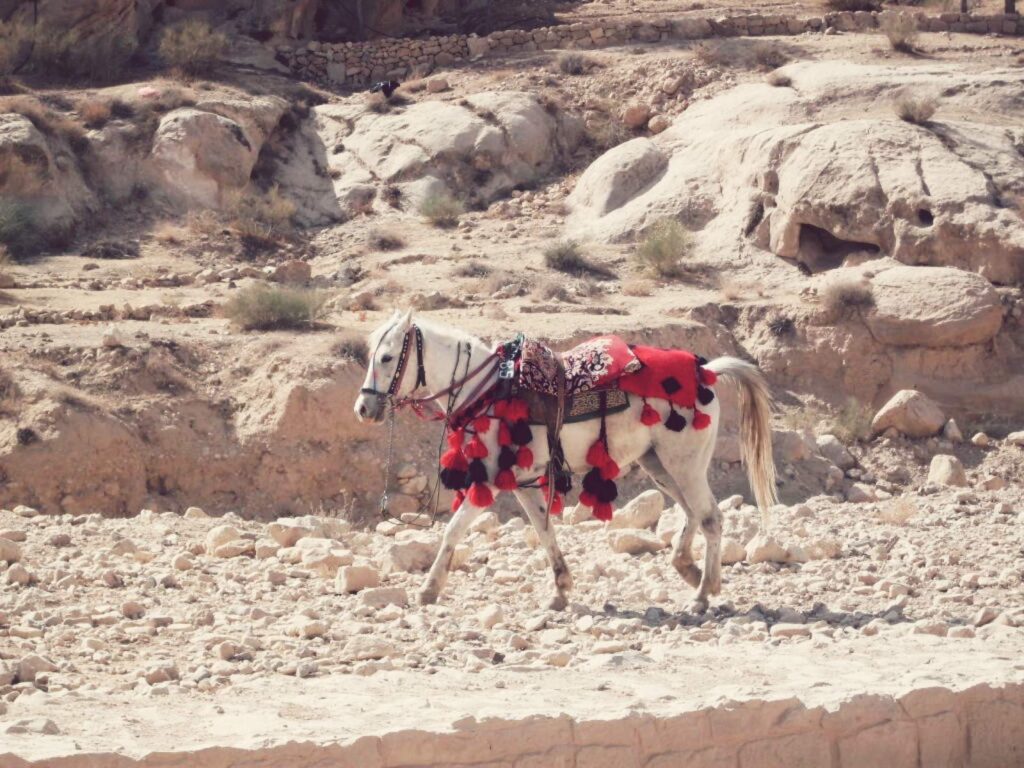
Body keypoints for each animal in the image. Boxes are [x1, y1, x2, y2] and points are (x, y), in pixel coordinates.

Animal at [354, 311, 778, 613]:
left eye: (387, 357)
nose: (363, 408)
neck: (487, 391)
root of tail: (707, 371)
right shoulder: (522, 482)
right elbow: (544, 531)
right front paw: (560, 590)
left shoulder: (489, 481)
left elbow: (453, 530)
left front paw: (428, 589)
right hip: (660, 465)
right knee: (692, 513)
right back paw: (689, 570)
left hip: (684, 464)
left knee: (709, 518)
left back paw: (702, 594)